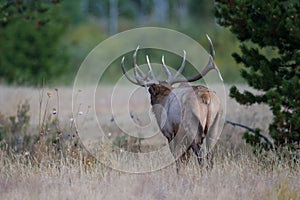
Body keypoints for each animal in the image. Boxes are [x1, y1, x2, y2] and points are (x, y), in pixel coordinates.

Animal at [121, 35, 223, 171]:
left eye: (150, 92)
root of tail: (206, 97)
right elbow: (185, 158)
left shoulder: (170, 132)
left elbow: (178, 160)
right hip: (216, 124)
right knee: (210, 156)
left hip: (192, 125)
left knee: (200, 155)